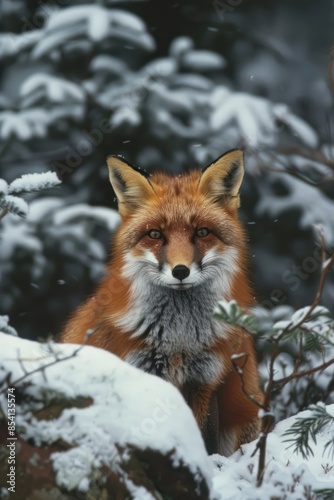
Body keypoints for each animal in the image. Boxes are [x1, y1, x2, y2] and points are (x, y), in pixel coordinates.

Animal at [60, 149, 264, 458]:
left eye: (202, 232)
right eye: (155, 234)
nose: (180, 271)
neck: (178, 340)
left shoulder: (205, 382)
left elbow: (204, 443)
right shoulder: (141, 375)